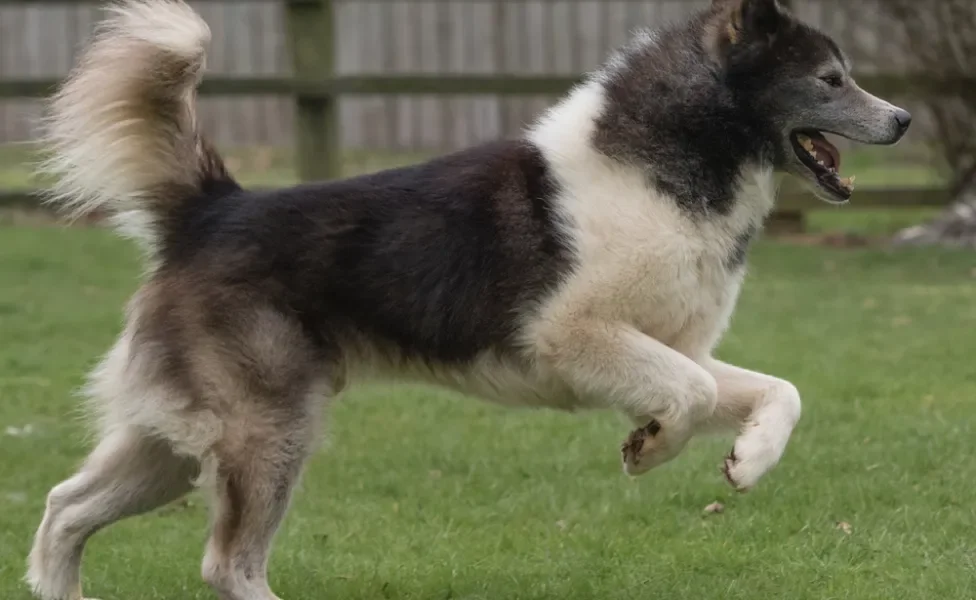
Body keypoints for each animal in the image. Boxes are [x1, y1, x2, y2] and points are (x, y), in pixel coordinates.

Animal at [26, 1, 912, 600]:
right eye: (831, 80)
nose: (904, 118)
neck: (669, 164)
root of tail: (211, 210)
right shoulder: (575, 336)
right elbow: (689, 396)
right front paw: (650, 446)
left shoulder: (672, 345)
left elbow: (778, 393)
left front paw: (744, 460)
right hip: (265, 434)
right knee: (226, 564)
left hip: (174, 445)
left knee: (64, 506)